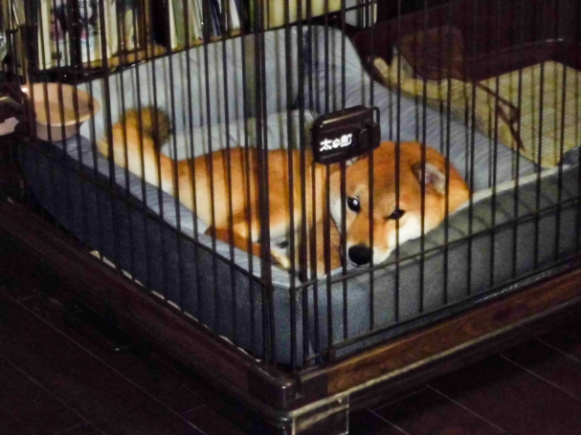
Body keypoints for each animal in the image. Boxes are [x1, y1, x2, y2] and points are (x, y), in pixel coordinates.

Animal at [98, 107, 469, 276]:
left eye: (396, 214)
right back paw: (277, 259)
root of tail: (182, 167)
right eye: (353, 203)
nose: (359, 255)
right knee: (218, 231)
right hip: (283, 208)